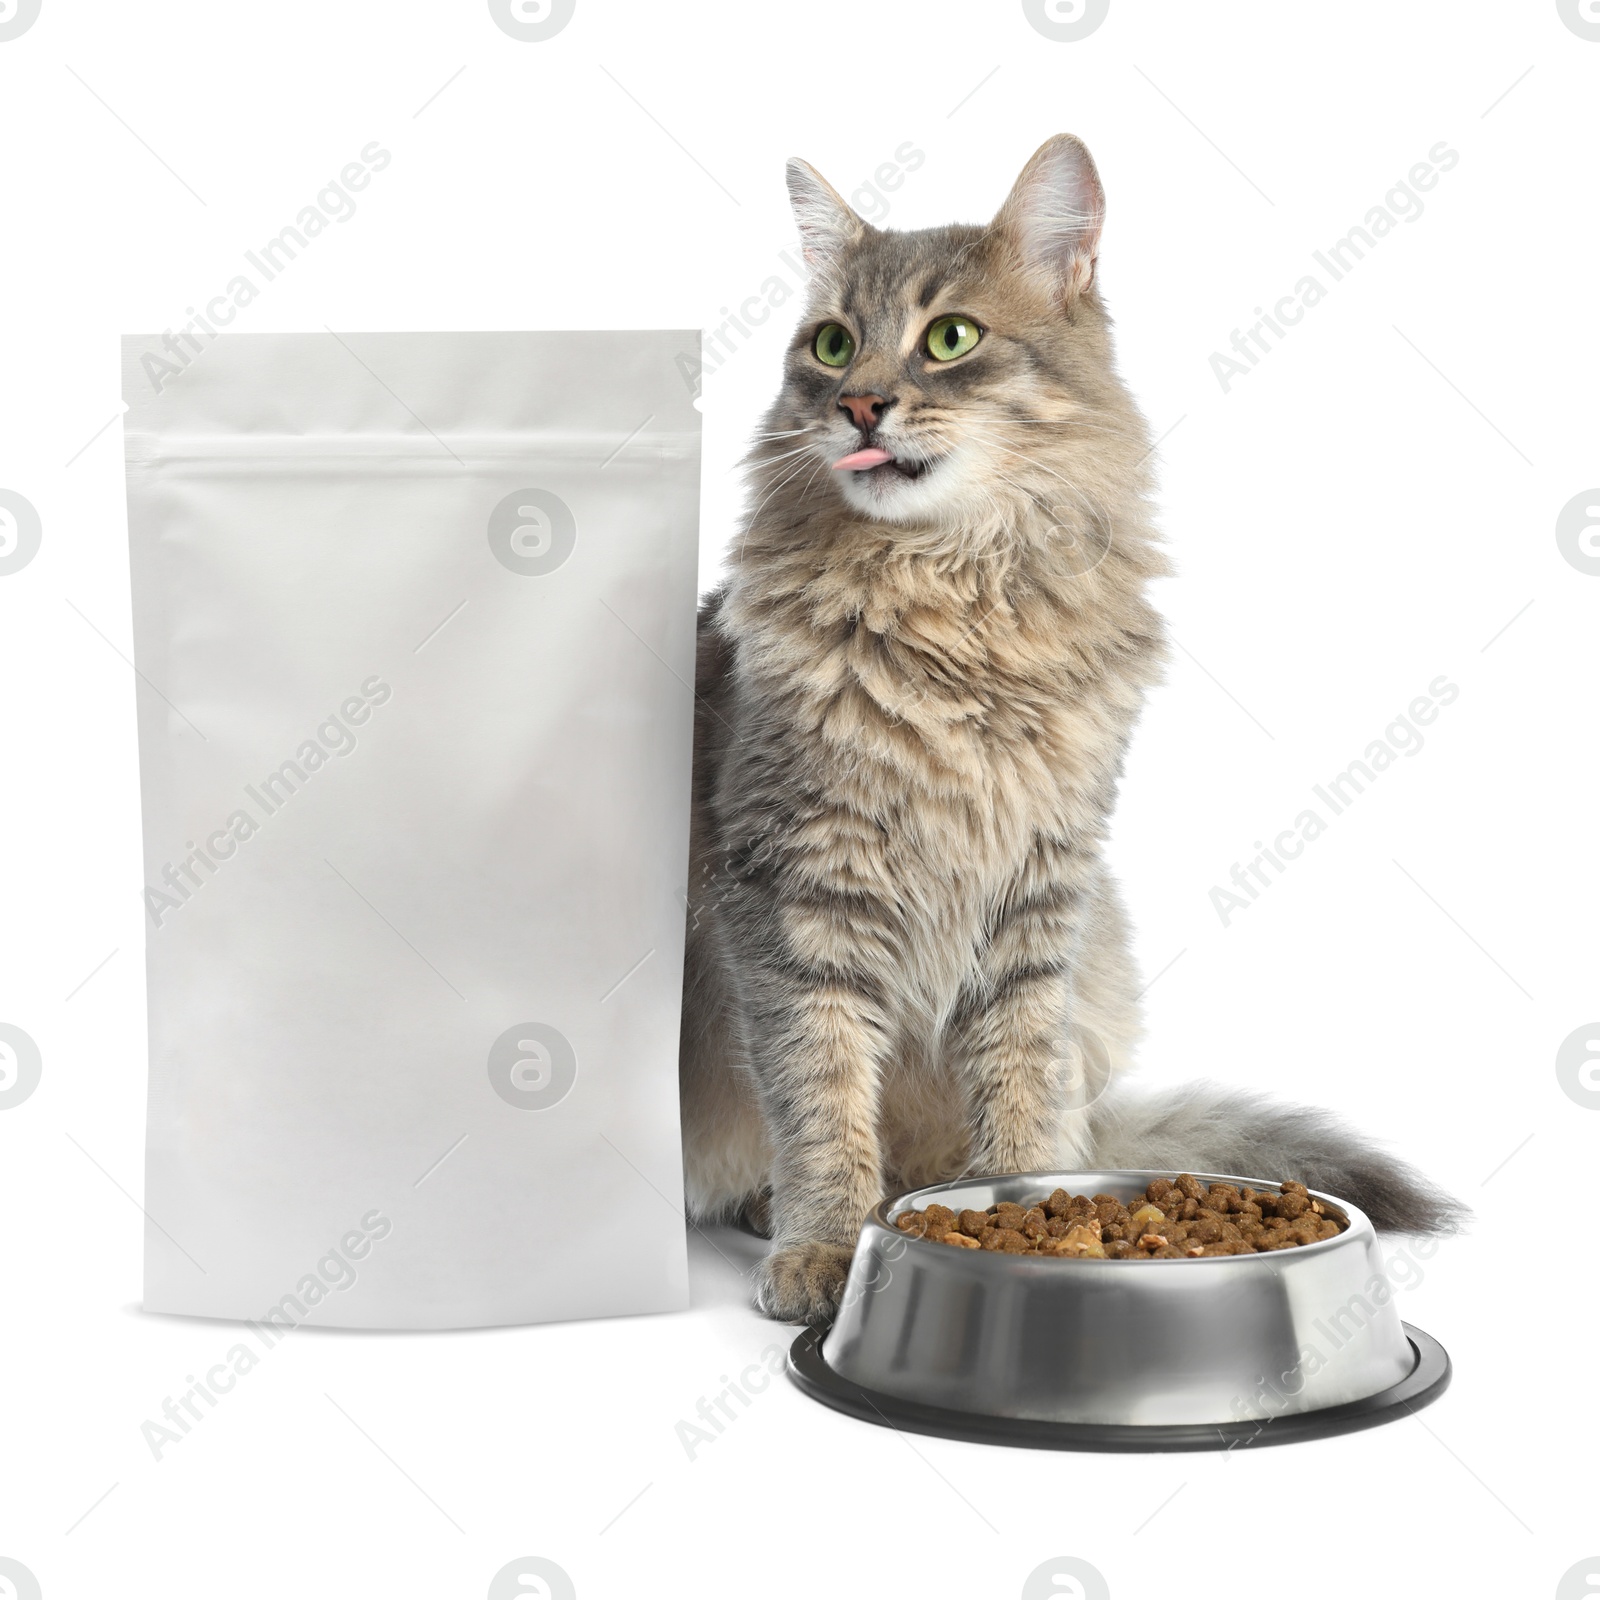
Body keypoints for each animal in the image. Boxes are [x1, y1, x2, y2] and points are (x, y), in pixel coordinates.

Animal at [675, 134, 1465, 1324]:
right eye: (832, 344)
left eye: (949, 338)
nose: (858, 404)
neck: (954, 604)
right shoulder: (791, 895)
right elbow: (821, 1101)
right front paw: (825, 1247)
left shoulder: (1039, 894)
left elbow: (1019, 1086)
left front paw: (1029, 1211)